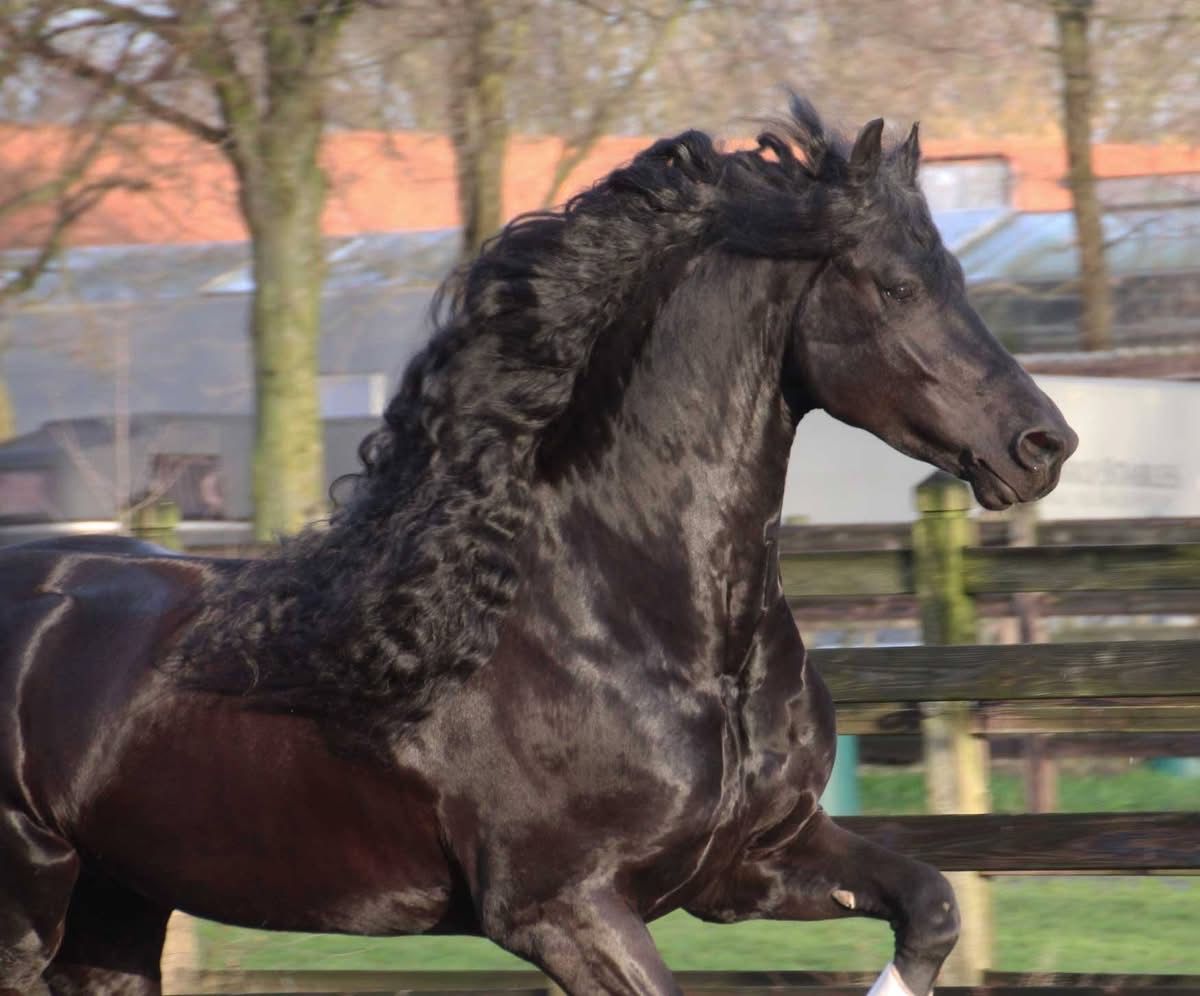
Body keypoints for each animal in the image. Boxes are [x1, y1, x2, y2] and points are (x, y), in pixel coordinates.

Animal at [0, 99, 1076, 996]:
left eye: (957, 279)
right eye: (895, 286)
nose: (1041, 444)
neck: (627, 620)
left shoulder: (749, 863)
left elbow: (933, 904)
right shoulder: (559, 908)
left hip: (115, 910)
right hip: (35, 895)